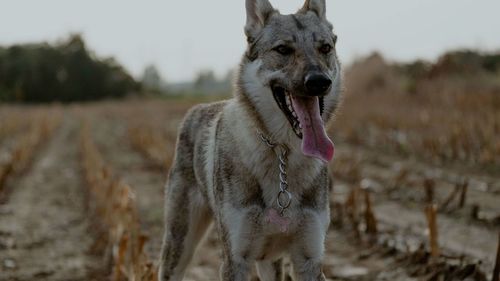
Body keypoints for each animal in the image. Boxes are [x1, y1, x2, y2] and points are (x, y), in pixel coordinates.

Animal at [158, 1, 342, 278]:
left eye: (325, 48)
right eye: (283, 49)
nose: (320, 81)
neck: (282, 154)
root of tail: (197, 108)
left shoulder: (309, 259)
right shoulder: (235, 260)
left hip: (269, 262)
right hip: (179, 245)